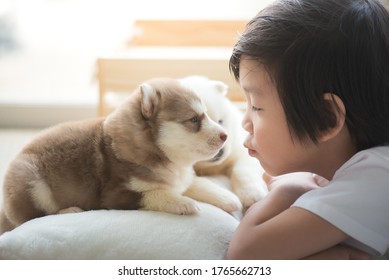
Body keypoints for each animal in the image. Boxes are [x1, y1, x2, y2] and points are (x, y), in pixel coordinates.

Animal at [0, 77, 241, 233]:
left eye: (209, 116)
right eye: (193, 120)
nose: (226, 135)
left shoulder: (179, 178)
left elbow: (198, 184)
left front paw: (228, 197)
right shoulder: (116, 195)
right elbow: (156, 193)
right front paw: (183, 202)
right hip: (32, 182)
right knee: (31, 217)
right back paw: (68, 210)